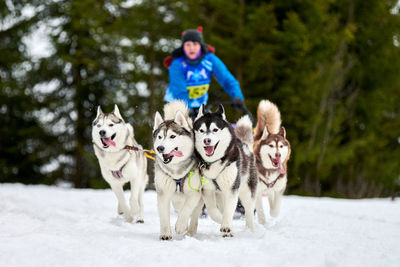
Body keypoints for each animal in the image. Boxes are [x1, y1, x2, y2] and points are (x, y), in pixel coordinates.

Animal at [153, 100, 203, 241]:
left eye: (172, 136)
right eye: (160, 137)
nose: (160, 148)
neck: (176, 172)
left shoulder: (194, 194)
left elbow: (187, 208)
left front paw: (181, 225)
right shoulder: (163, 193)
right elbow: (164, 216)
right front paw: (165, 233)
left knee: (194, 215)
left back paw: (190, 231)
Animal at [193, 105, 256, 238]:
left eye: (215, 129)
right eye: (201, 130)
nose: (207, 140)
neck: (214, 162)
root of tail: (245, 146)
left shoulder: (232, 189)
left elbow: (229, 210)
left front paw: (226, 225)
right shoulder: (207, 189)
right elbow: (212, 210)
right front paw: (221, 220)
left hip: (247, 191)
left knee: (249, 211)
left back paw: (250, 230)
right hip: (220, 195)